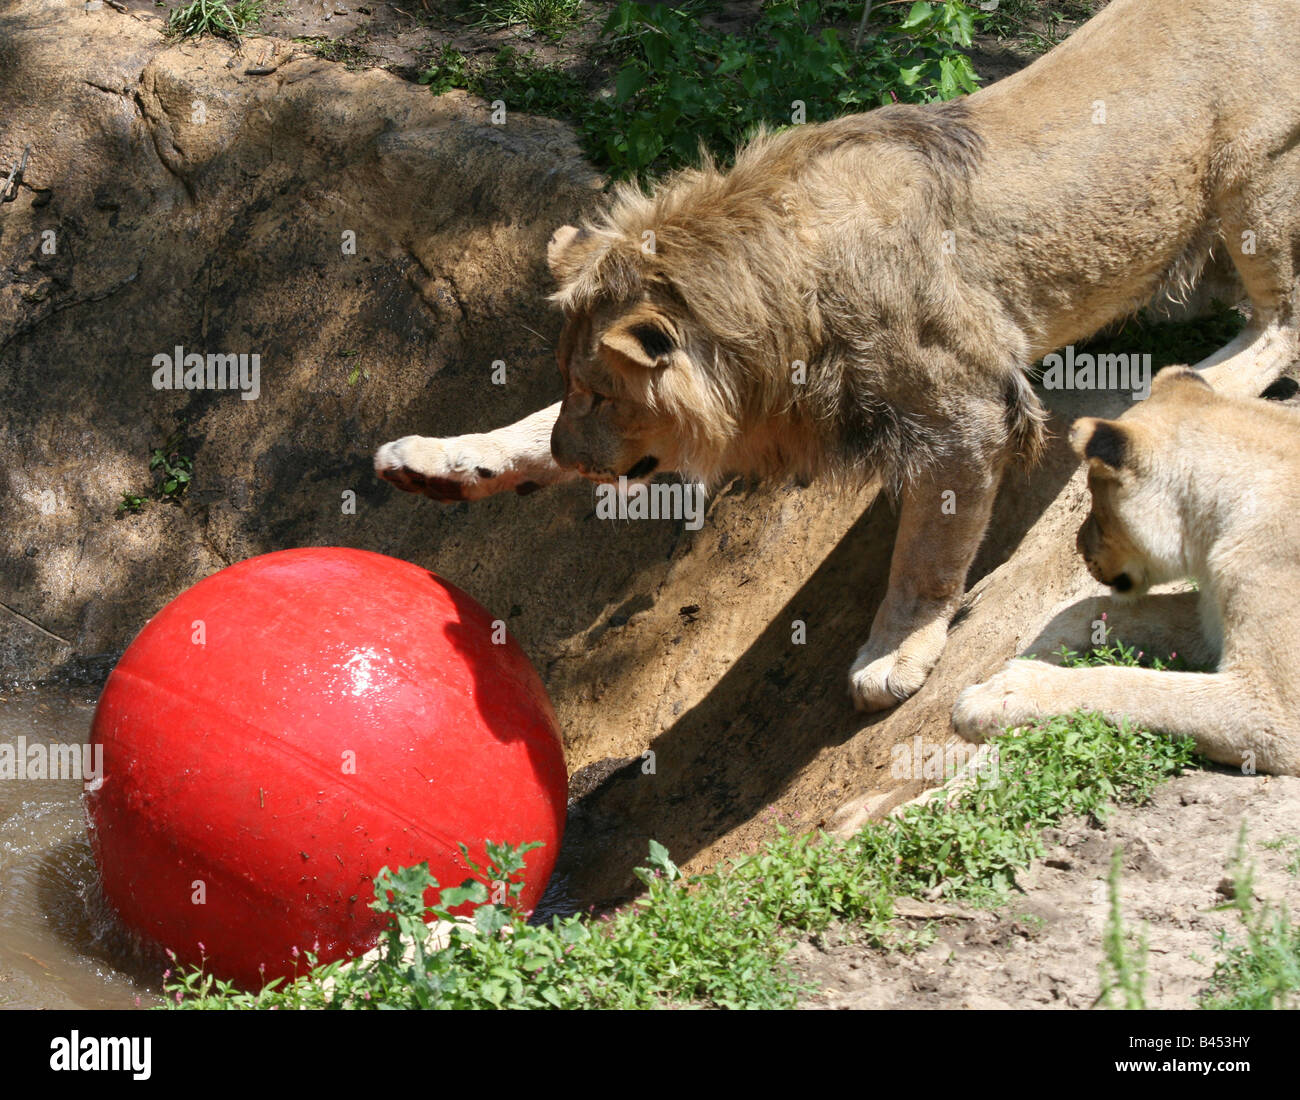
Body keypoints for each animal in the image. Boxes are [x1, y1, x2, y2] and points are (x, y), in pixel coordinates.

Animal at [374, 0, 1300, 712]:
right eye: (577, 386)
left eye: (606, 395)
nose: (577, 454)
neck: (777, 292)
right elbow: (526, 428)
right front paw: (437, 462)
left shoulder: (963, 412)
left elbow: (927, 553)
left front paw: (894, 653)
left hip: (1256, 181)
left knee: (1280, 320)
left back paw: (1205, 380)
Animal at [951, 366, 1300, 780]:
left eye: (1096, 503)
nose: (1079, 547)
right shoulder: (1212, 614)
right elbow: (1088, 609)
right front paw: (1034, 654)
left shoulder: (1275, 709)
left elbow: (1131, 685)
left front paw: (999, 695)